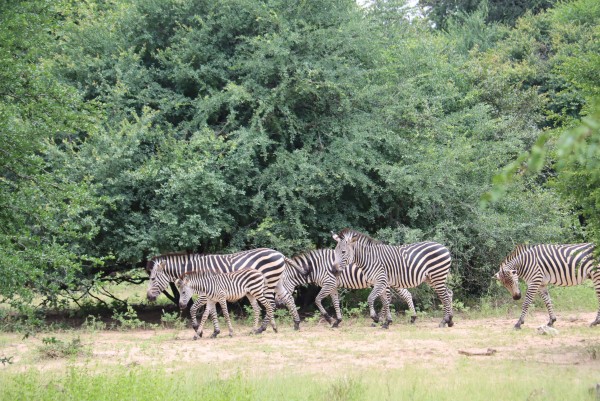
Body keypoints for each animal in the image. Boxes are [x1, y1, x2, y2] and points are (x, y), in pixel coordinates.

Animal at [144, 247, 304, 328]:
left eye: (152, 279)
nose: (148, 297)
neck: (195, 270)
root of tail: (280, 254)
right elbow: (207, 310)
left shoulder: (206, 292)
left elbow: (194, 308)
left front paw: (196, 327)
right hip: (277, 281)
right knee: (289, 298)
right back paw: (296, 324)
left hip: (269, 281)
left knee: (271, 303)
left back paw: (263, 328)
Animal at [276, 248, 418, 326]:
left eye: (278, 288)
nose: (278, 304)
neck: (316, 267)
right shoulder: (333, 286)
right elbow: (335, 302)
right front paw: (337, 321)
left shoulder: (329, 283)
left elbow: (317, 300)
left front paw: (329, 319)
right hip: (393, 281)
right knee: (405, 295)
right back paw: (412, 317)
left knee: (387, 299)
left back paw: (381, 320)